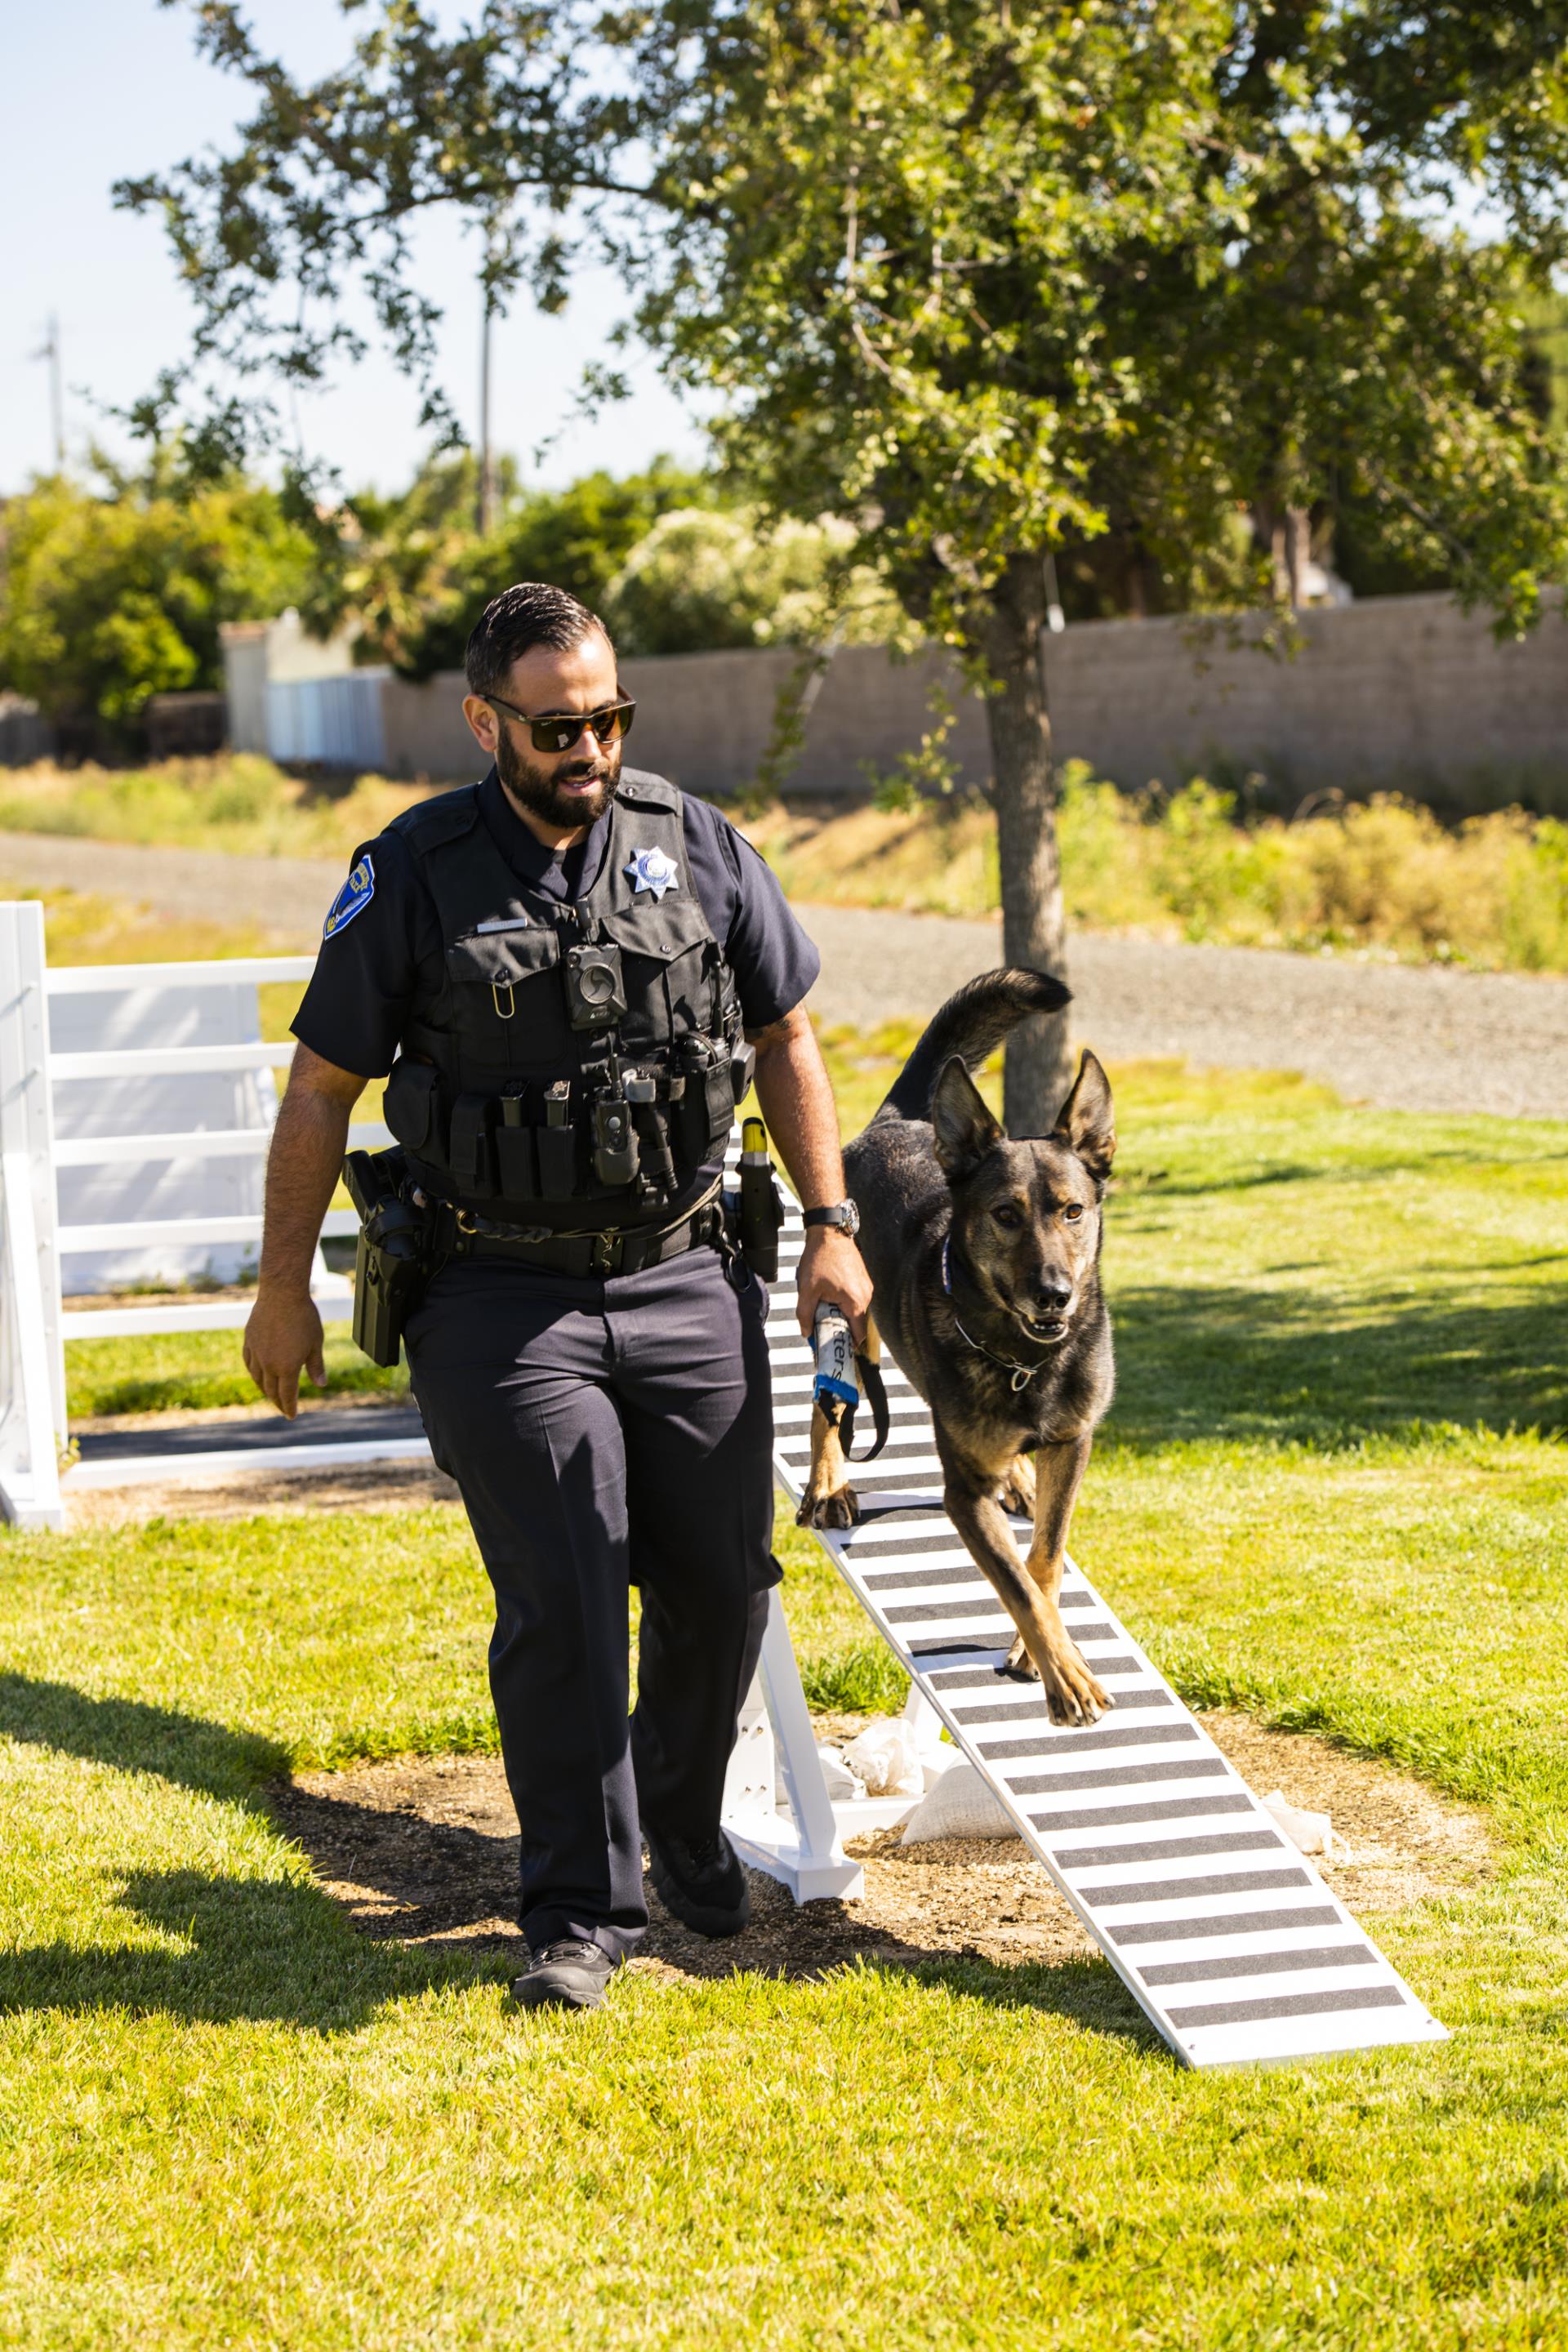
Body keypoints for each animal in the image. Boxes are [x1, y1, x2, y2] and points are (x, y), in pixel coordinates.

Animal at [804, 973, 1123, 1731]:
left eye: (1073, 1211)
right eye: (1005, 1215)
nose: (1055, 1295)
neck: (1024, 1361)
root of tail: (895, 1123)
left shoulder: (1073, 1444)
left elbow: (1044, 1559)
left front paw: (1036, 1652)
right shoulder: (963, 1495)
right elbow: (1018, 1583)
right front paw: (1066, 1676)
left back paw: (1018, 1478)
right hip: (846, 1302)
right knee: (831, 1401)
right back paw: (830, 1482)